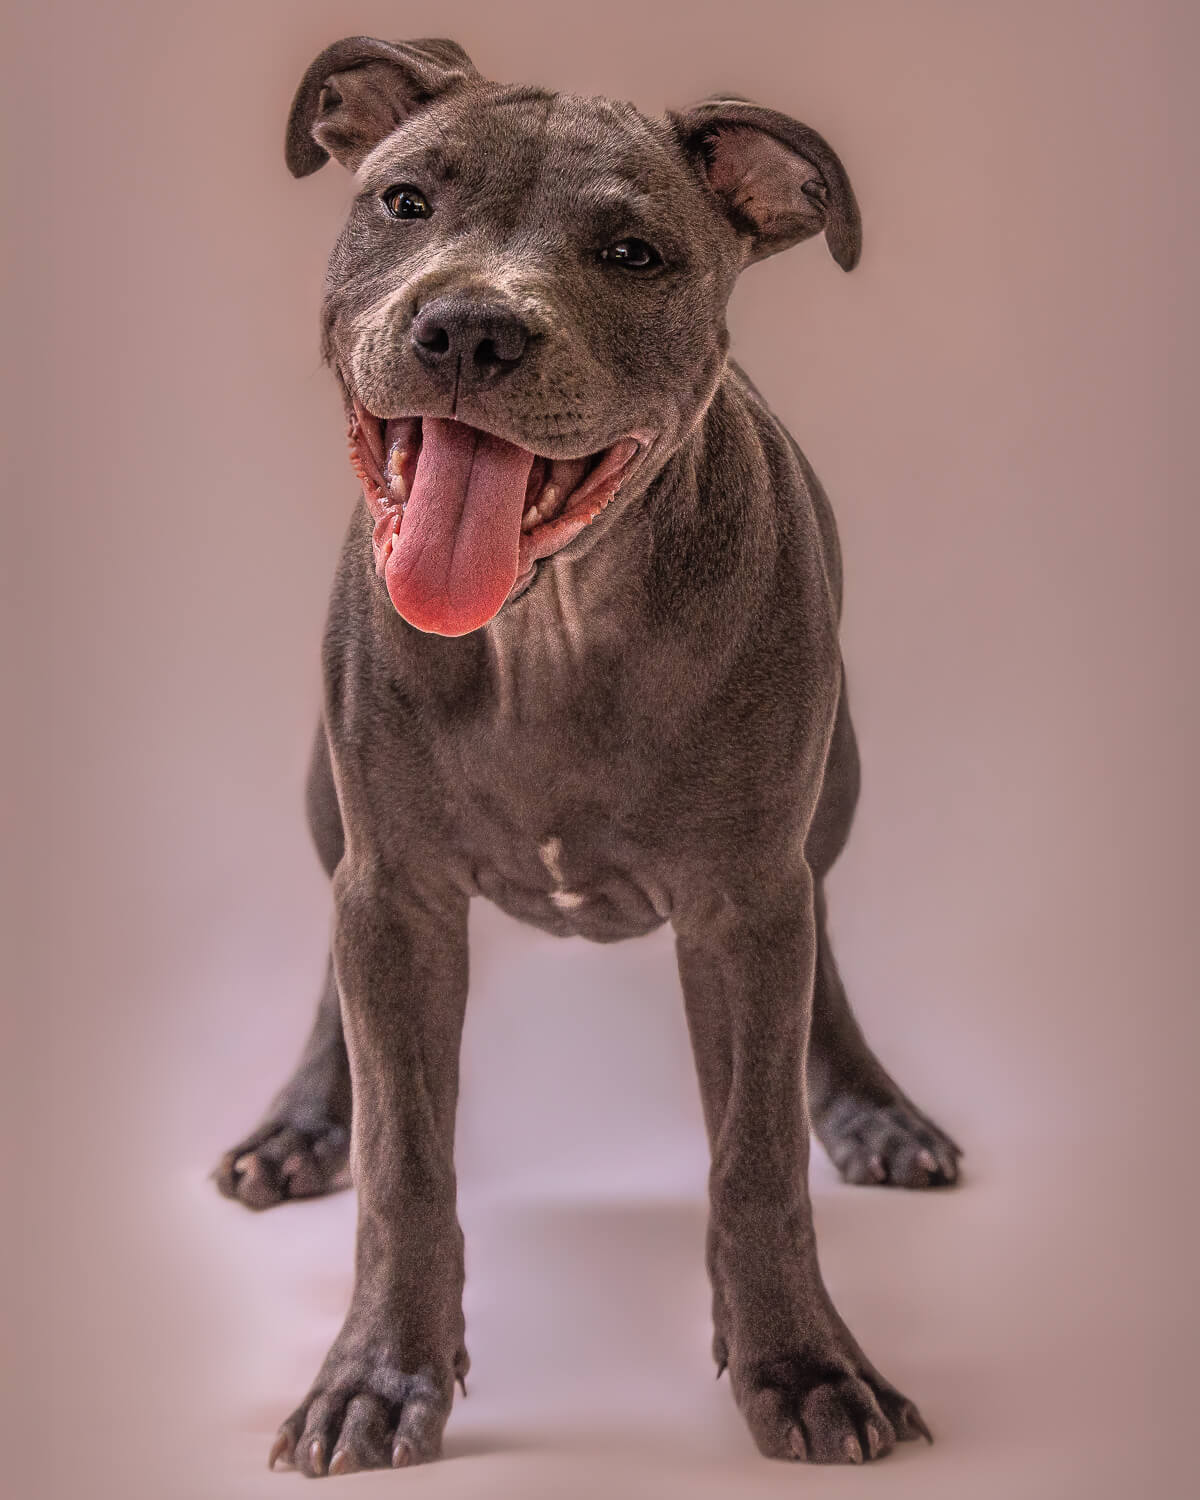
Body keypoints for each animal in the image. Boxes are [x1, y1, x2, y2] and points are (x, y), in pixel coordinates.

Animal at [216, 35, 960, 1476]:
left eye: (632, 253)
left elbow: (755, 1156)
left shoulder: (746, 902)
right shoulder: (394, 891)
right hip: (330, 815)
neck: (547, 622)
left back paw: (870, 1108)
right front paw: (377, 1379)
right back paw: (301, 1123)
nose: (468, 327)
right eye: (406, 201)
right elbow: (404, 1159)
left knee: (821, 964)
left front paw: (802, 1364)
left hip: (827, 798)